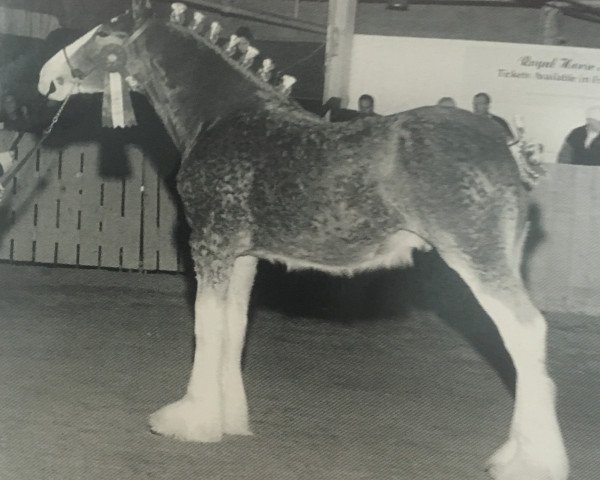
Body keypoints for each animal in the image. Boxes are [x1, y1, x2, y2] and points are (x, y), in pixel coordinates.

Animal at [36, 1, 568, 478]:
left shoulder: (211, 244)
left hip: (477, 258)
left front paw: (190, 420)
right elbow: (233, 328)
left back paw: (531, 462)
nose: (48, 79)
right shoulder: (243, 256)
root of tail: (505, 146)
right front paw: (229, 419)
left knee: (524, 334)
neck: (225, 116)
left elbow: (206, 327)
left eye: (105, 32)